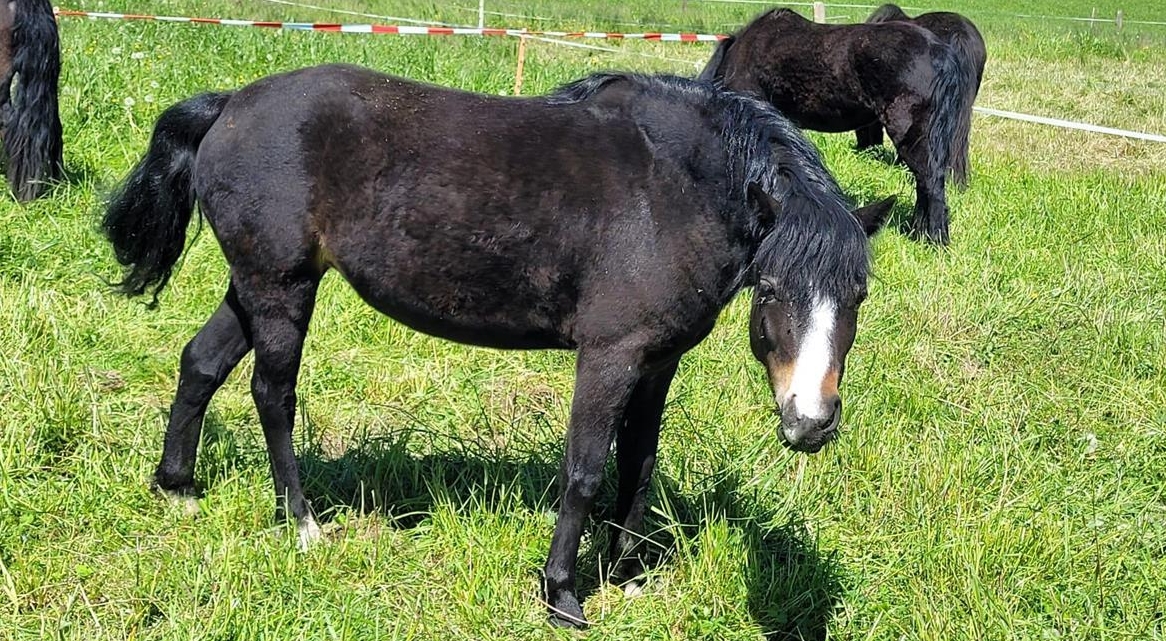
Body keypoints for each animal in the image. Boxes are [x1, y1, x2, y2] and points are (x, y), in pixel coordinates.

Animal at [101, 65, 892, 627]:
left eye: (857, 297)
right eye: (772, 291)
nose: (809, 423)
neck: (673, 185)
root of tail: (231, 105)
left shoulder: (657, 361)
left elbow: (637, 466)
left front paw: (628, 577)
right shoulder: (609, 355)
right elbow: (584, 470)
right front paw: (562, 594)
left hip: (255, 284)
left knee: (200, 363)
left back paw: (178, 487)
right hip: (281, 287)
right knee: (273, 394)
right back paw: (303, 525)